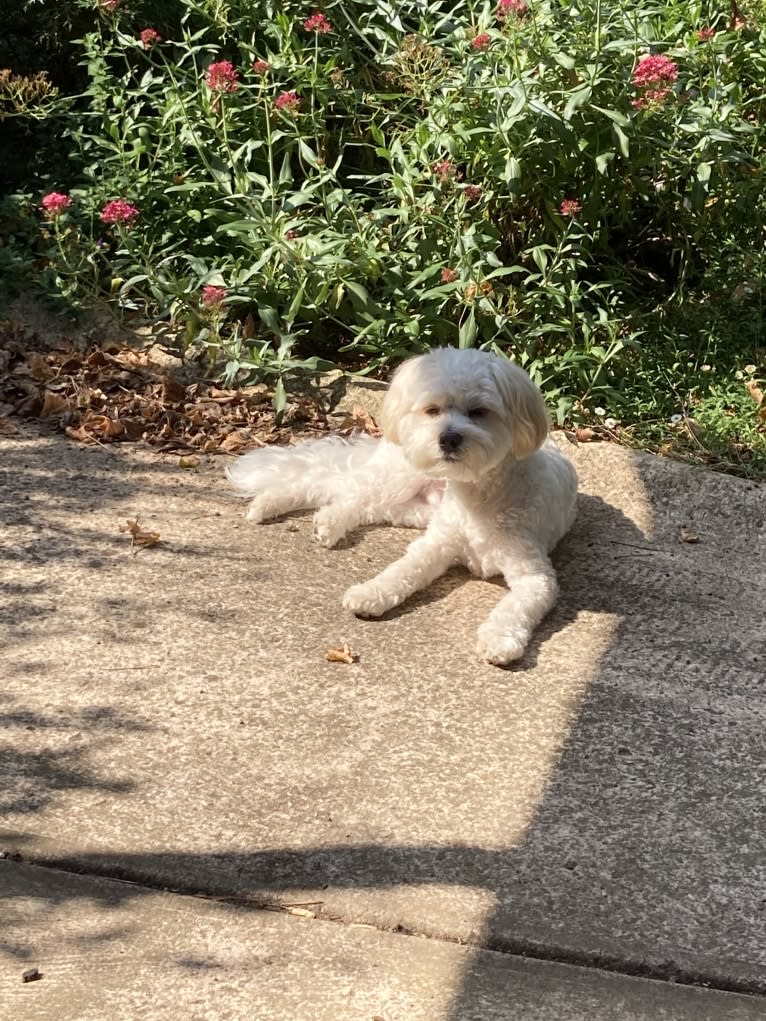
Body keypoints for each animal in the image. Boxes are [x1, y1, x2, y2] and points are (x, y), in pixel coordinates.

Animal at [226, 351, 576, 665]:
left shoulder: (535, 577)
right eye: (432, 409)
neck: (478, 494)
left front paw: (499, 639)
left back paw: (324, 521)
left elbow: (515, 607)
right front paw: (371, 592)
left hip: (413, 508)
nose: (448, 438)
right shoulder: (435, 545)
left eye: (479, 411)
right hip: (401, 476)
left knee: (362, 503)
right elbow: (402, 571)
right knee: (336, 486)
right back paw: (280, 506)